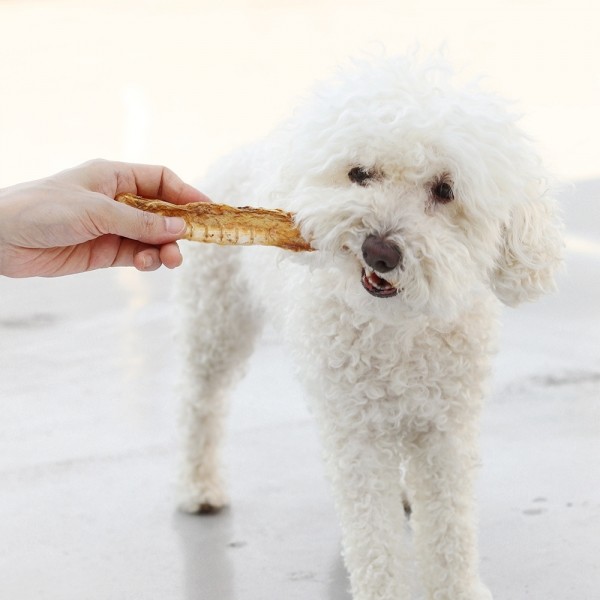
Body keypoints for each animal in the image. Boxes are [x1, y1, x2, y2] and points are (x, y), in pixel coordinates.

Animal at [176, 54, 564, 596]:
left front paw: (457, 588)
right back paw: (199, 485)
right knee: (201, 402)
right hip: (216, 320)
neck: (397, 327)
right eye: (360, 174)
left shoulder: (446, 430)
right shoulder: (356, 433)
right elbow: (373, 539)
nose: (379, 250)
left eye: (444, 190)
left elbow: (450, 530)